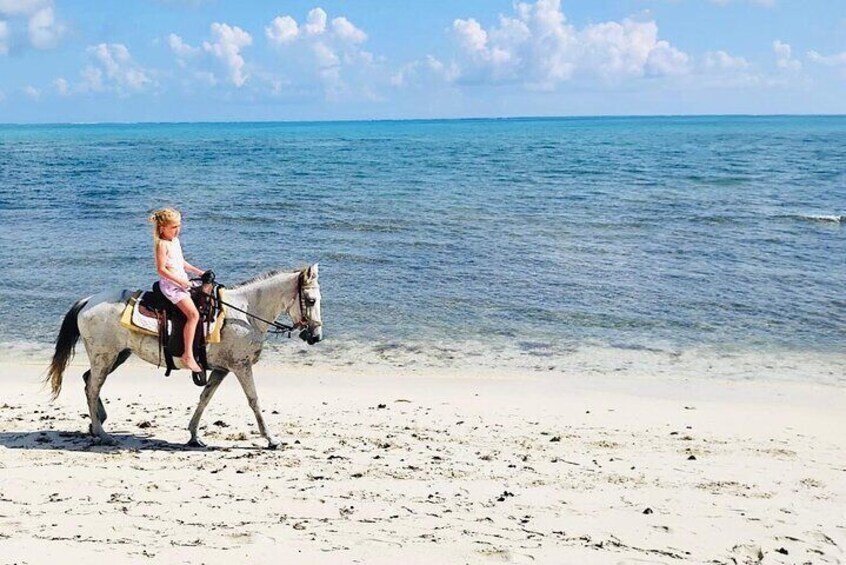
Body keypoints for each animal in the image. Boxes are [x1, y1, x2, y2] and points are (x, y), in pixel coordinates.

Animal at [47, 266, 324, 450]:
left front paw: (194, 435)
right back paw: (102, 433)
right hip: (105, 356)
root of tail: (87, 301)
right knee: (93, 387)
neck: (245, 313)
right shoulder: (241, 366)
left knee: (88, 380)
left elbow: (205, 398)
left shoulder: (221, 369)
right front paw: (271, 439)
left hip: (117, 356)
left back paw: (97, 424)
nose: (316, 336)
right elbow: (254, 401)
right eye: (311, 300)